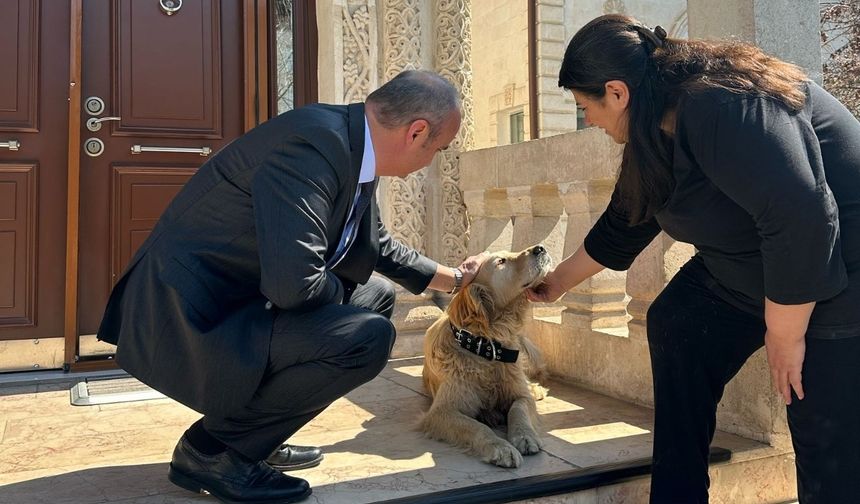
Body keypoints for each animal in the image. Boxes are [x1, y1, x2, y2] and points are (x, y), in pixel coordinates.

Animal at [422, 244, 552, 468]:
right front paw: (501, 447)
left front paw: (525, 436)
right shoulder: (442, 411)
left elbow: (519, 408)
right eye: (501, 262)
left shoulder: (519, 394)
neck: (485, 347)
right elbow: (474, 427)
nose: (540, 248)